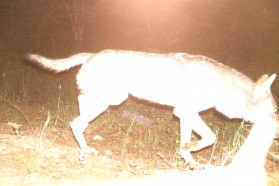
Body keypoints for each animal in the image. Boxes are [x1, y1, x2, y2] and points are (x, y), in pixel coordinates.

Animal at [24, 49, 279, 163]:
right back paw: (86, 148)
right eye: (276, 111)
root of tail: (91, 54)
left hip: (110, 98)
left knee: (80, 107)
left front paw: (190, 161)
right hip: (112, 99)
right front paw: (192, 151)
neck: (224, 87)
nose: (277, 133)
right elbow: (210, 137)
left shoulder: (184, 114)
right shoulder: (186, 111)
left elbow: (187, 144)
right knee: (76, 121)